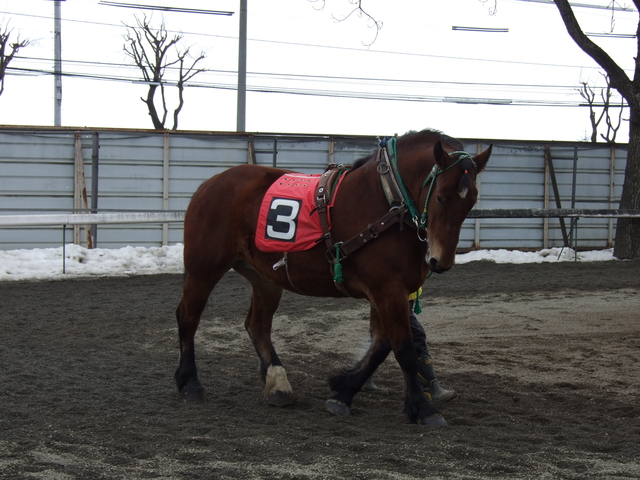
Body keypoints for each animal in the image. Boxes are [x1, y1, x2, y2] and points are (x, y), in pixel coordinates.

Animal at [175, 129, 492, 426]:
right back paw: (191, 384)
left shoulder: (385, 291)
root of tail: (211, 183)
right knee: (188, 317)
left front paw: (344, 390)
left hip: (264, 278)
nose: (440, 261)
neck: (389, 199)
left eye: (471, 201)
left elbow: (381, 345)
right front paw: (423, 408)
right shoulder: (388, 289)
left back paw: (278, 384)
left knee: (258, 325)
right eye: (440, 196)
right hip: (204, 269)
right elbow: (403, 348)